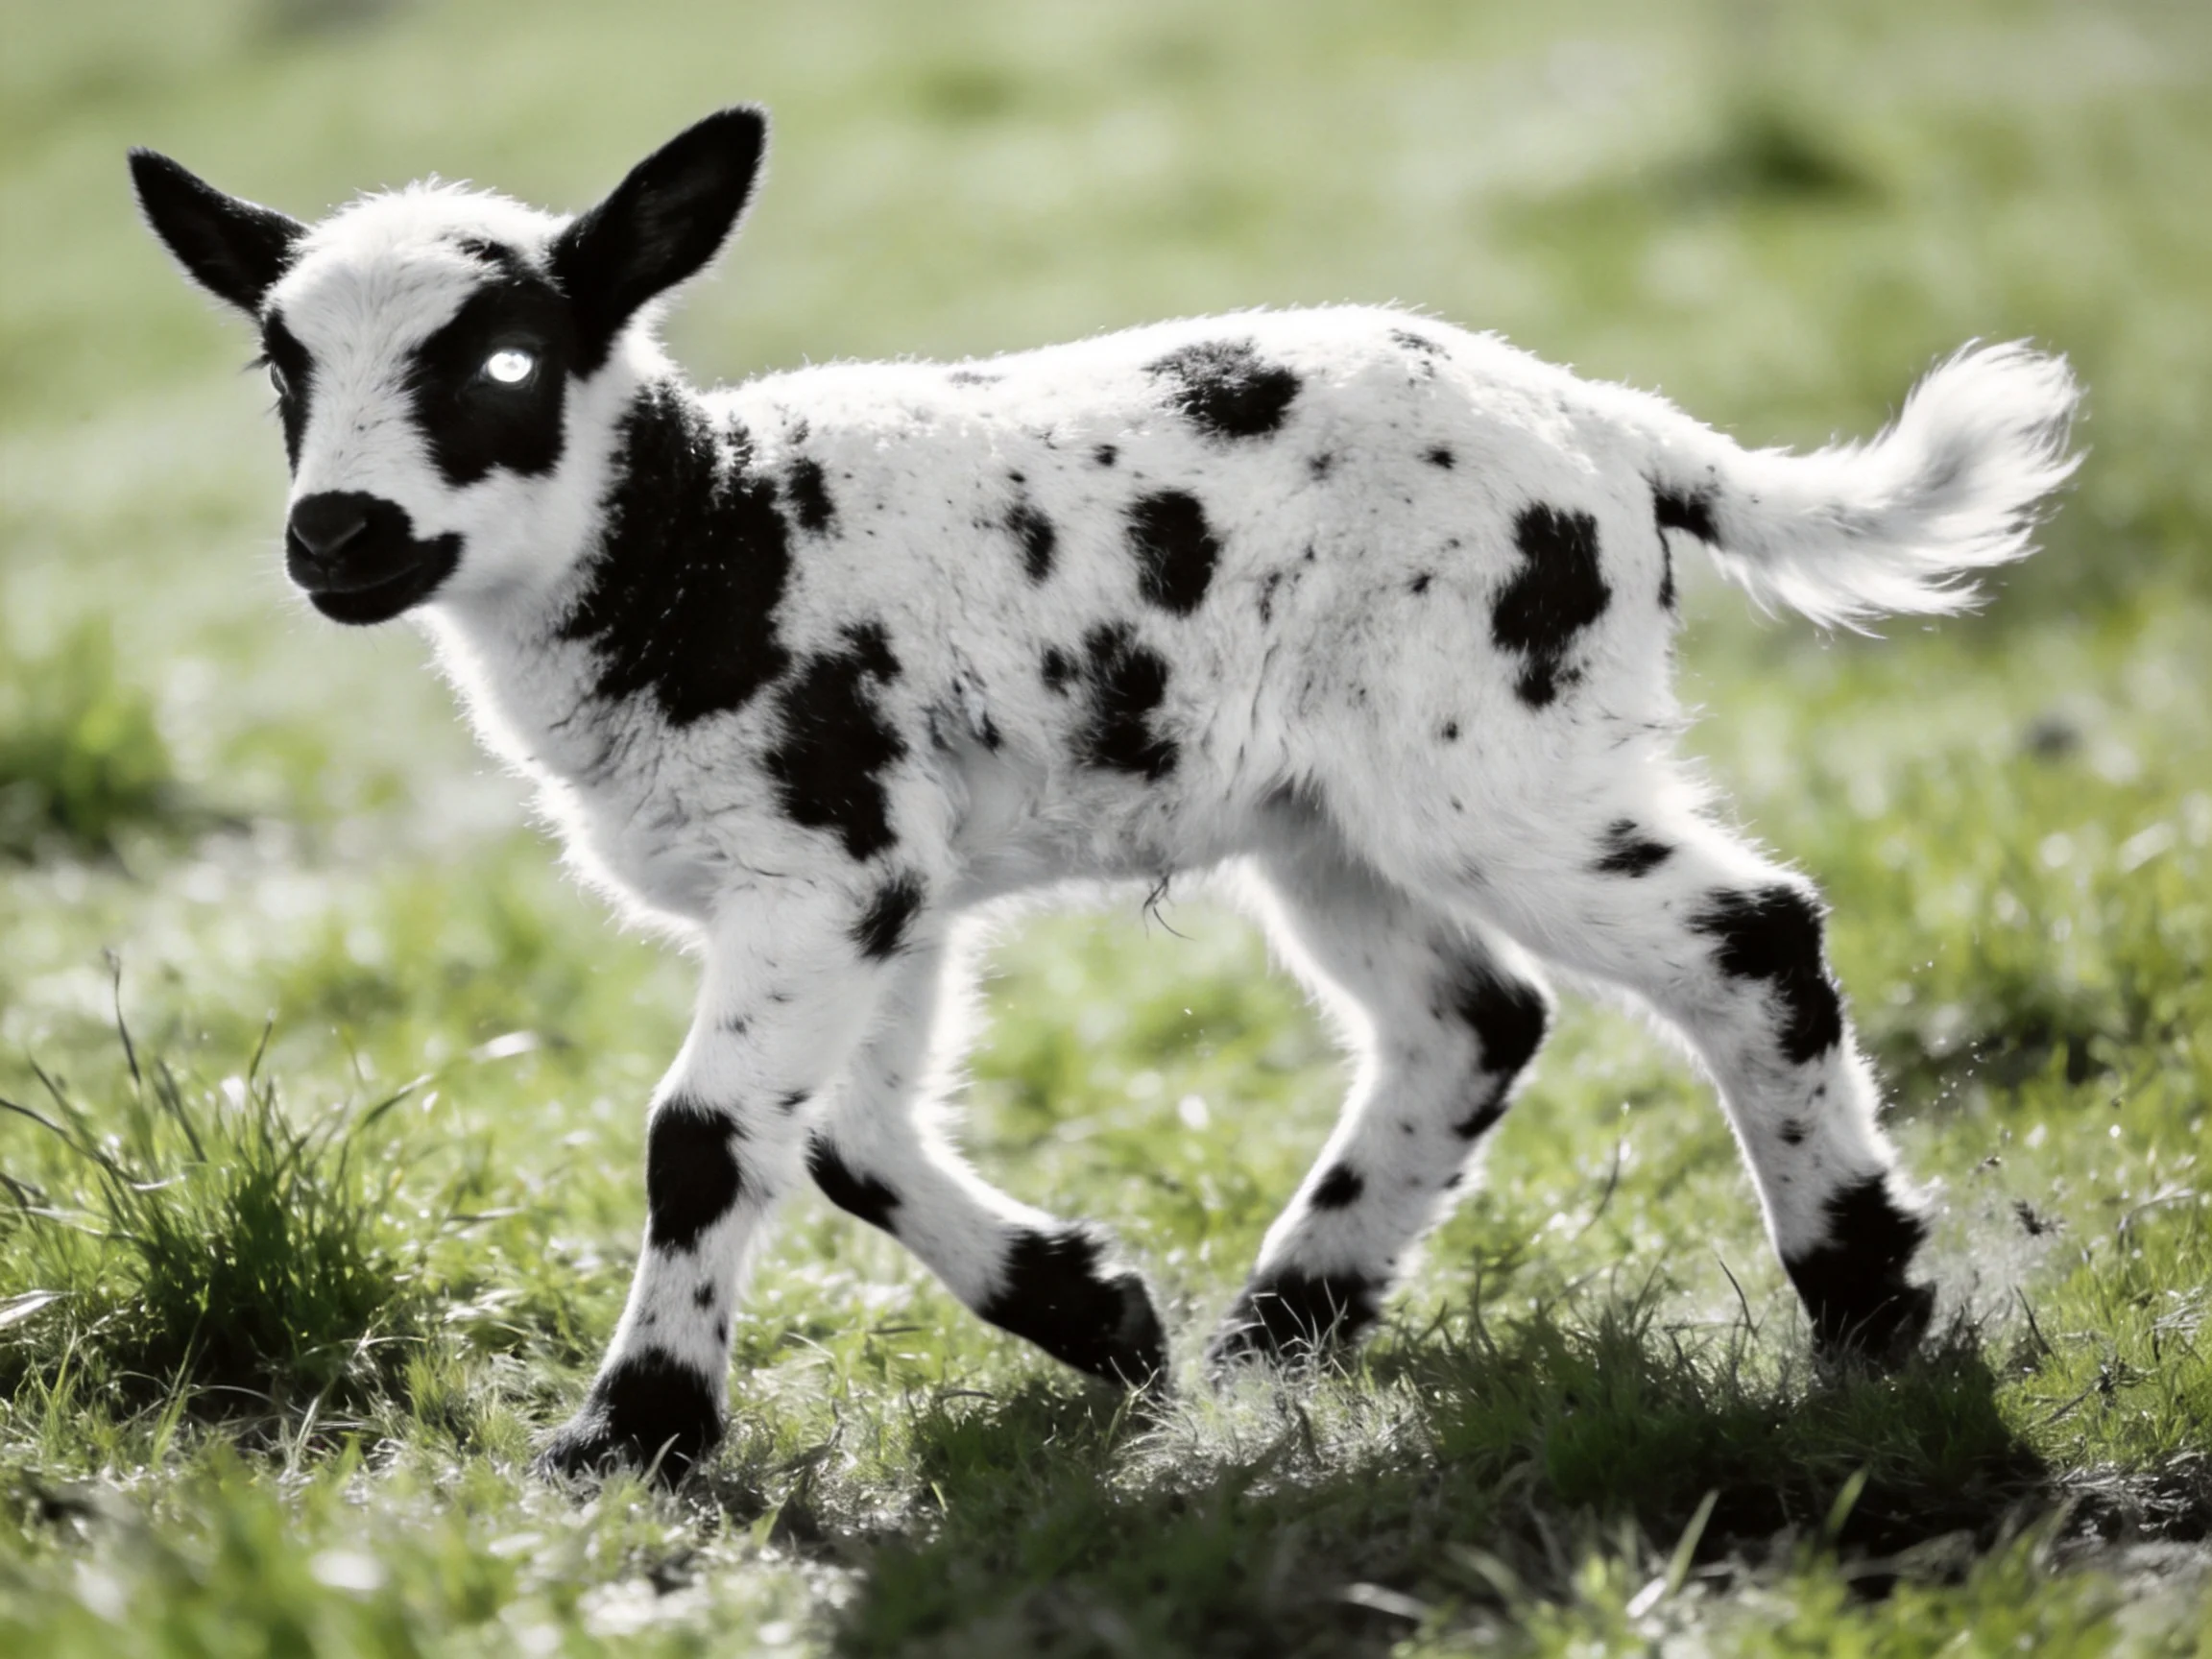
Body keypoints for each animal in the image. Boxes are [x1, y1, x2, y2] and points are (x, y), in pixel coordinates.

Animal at [128, 106, 2080, 1480]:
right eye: (283, 366)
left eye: (505, 360)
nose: (337, 537)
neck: (707, 537)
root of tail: (1609, 425)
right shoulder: (880, 877)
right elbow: (840, 1138)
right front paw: (1094, 1316)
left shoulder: (820, 860)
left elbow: (705, 1136)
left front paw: (635, 1433)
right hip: (1328, 805)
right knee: (1469, 1017)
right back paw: (1273, 1332)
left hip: (1488, 751)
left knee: (1747, 936)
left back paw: (1864, 1306)